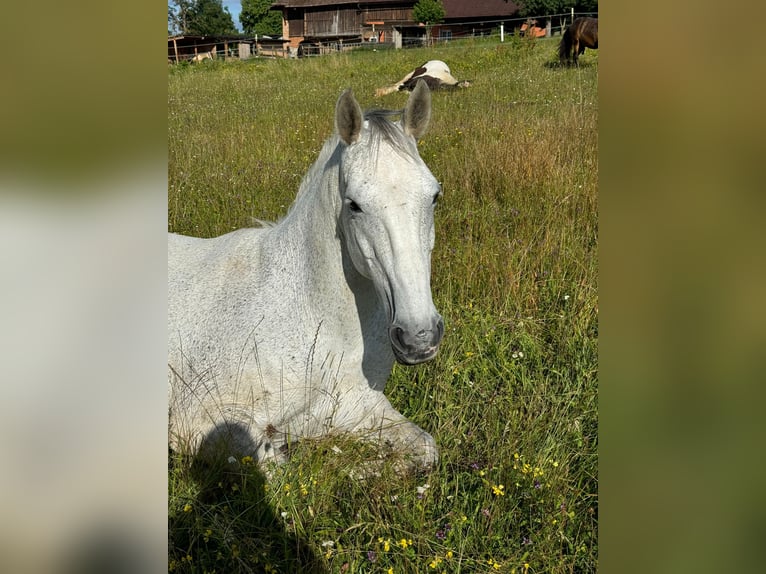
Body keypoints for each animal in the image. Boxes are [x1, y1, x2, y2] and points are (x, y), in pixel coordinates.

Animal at [168, 82, 444, 476]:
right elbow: (278, 468)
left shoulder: (359, 405)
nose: (418, 337)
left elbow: (424, 449)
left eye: (434, 196)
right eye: (354, 204)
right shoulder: (199, 423)